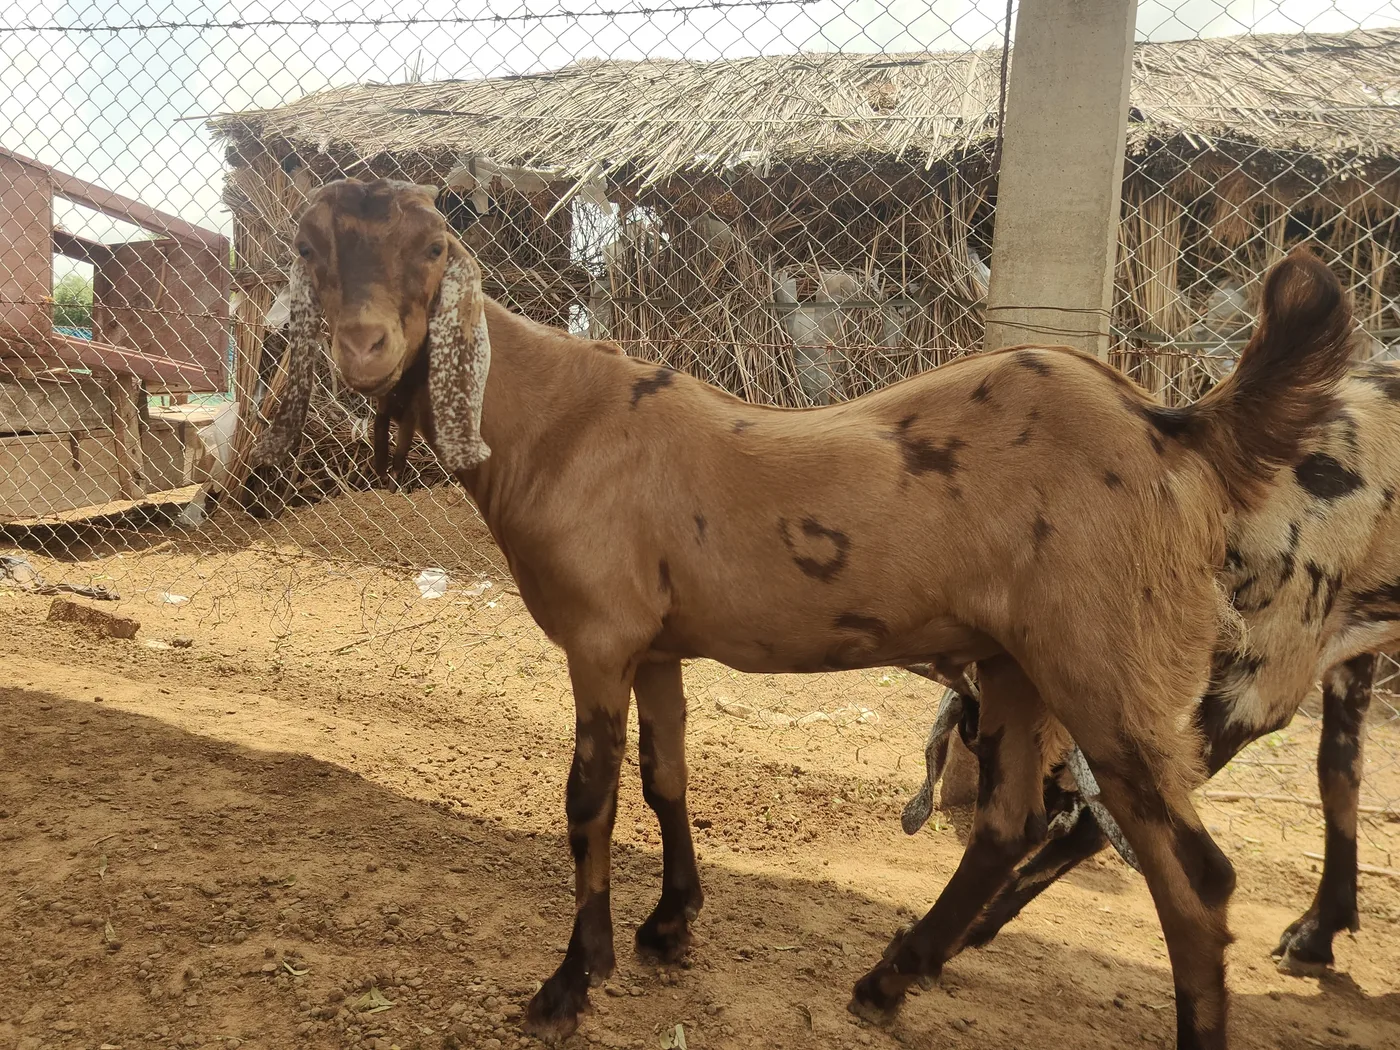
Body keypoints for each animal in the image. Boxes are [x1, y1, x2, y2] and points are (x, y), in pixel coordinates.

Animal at [907, 349, 1400, 977]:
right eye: (972, 740)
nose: (1032, 817)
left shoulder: (1259, 686)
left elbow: (1113, 823)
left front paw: (970, 928)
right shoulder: (1344, 658)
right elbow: (1338, 774)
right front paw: (1319, 931)